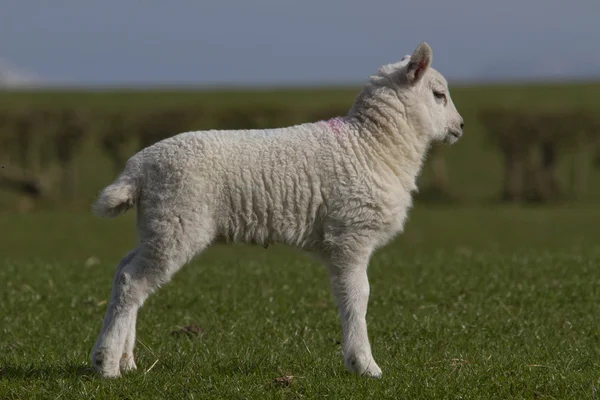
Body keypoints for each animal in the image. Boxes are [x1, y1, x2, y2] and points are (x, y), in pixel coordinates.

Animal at [89, 42, 464, 380]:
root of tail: (138, 168)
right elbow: (358, 298)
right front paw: (365, 365)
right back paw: (107, 365)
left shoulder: (341, 240)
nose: (460, 128)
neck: (372, 144)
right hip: (177, 222)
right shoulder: (351, 234)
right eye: (438, 95)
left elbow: (348, 298)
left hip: (158, 224)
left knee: (124, 271)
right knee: (132, 282)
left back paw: (124, 360)